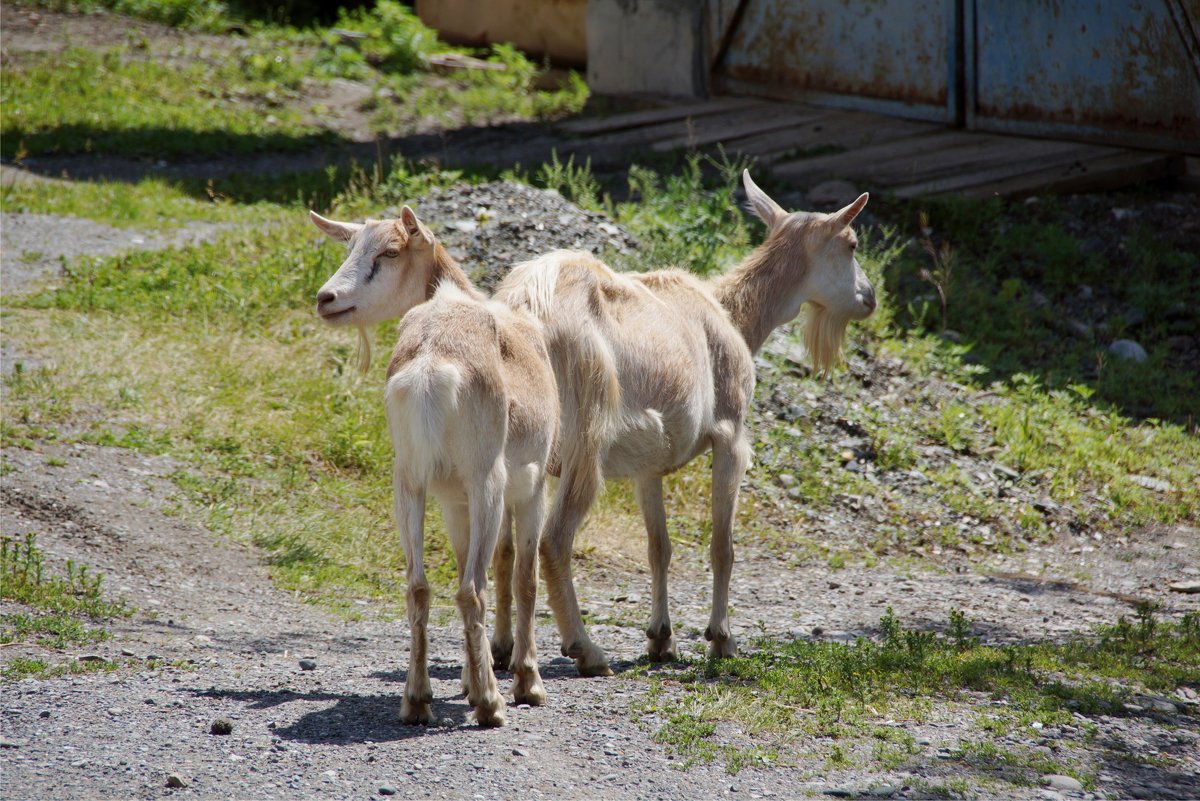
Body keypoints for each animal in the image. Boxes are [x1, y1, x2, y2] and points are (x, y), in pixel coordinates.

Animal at [307, 206, 554, 724]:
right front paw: (527, 684)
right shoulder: (533, 485)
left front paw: (467, 679)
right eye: (351, 247)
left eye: (389, 251)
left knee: (419, 586)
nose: (326, 298)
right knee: (472, 589)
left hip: (410, 484)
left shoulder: (452, 500)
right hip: (486, 481)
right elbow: (525, 578)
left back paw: (418, 700)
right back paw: (491, 705)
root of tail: (429, 369)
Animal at [492, 170, 878, 676]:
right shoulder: (731, 434)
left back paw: (500, 648)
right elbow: (722, 545)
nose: (870, 298)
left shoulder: (649, 465)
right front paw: (721, 639)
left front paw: (661, 638)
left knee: (502, 546)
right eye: (852, 243)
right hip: (585, 438)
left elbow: (659, 547)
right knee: (553, 542)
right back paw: (586, 649)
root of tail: (523, 310)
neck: (732, 314)